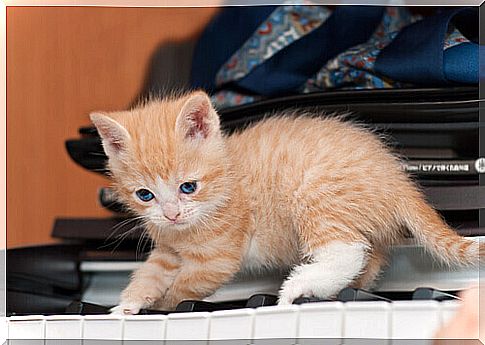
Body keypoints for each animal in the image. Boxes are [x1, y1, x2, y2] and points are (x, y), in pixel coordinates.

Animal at [91, 90, 480, 314]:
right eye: (145, 195)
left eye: (188, 187)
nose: (172, 214)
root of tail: (397, 178)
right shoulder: (168, 249)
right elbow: (150, 272)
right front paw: (127, 304)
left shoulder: (217, 258)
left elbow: (186, 287)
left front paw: (166, 305)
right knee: (368, 259)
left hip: (314, 192)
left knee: (347, 251)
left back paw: (298, 285)